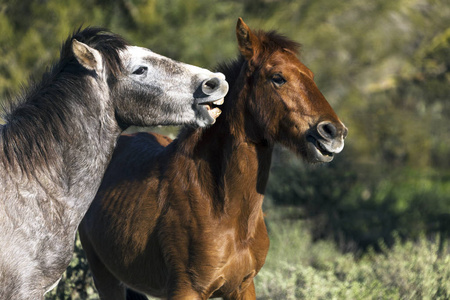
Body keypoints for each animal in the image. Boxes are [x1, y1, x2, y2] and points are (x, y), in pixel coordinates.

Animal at [80, 19, 348, 300]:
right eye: (278, 77)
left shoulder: (243, 287)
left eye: (311, 75)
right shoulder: (187, 290)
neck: (221, 207)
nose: (333, 132)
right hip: (106, 277)